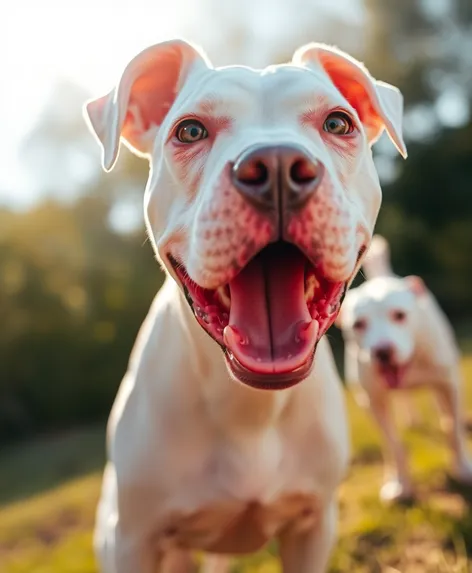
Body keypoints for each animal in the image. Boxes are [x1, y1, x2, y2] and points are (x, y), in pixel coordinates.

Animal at [84, 38, 406, 568]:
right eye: (190, 130)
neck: (250, 407)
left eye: (339, 123)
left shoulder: (313, 526)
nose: (276, 165)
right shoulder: (133, 540)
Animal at [338, 235, 470, 502]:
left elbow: (453, 430)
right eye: (358, 324)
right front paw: (400, 484)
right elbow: (394, 445)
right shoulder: (372, 401)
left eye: (399, 315)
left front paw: (462, 469)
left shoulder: (449, 385)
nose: (382, 351)